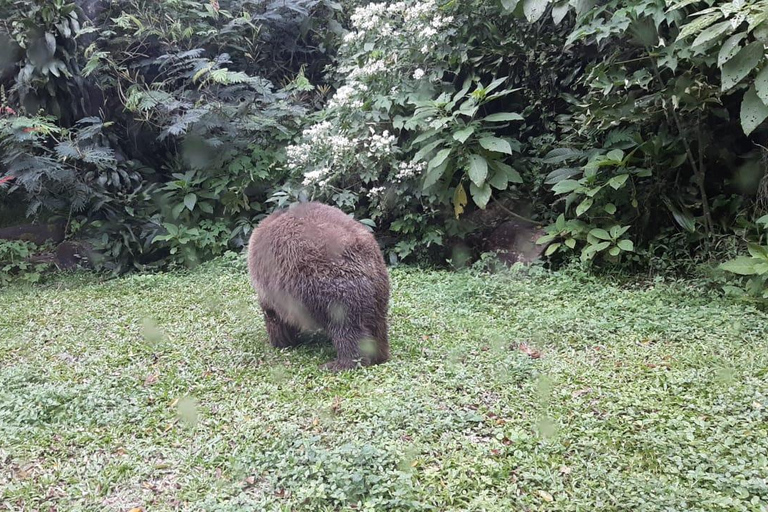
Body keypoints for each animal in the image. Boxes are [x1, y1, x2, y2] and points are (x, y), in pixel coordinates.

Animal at [248, 201, 390, 372]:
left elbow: (275, 316)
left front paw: (281, 341)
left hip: (329, 285)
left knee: (347, 327)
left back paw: (340, 364)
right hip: (378, 288)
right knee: (377, 324)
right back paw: (379, 354)